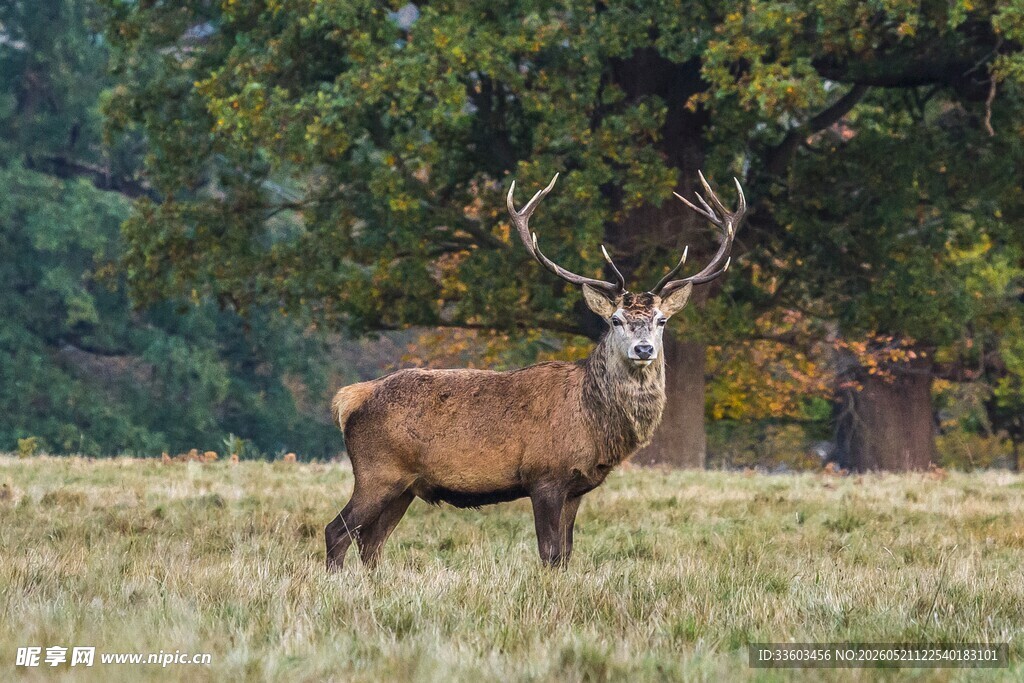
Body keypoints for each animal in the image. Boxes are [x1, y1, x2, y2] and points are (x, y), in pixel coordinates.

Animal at [326, 172, 745, 570]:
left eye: (661, 320)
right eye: (615, 320)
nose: (643, 349)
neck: (593, 422)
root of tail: (349, 398)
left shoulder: (576, 487)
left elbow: (566, 554)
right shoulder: (544, 476)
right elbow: (548, 552)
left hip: (406, 486)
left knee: (371, 541)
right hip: (378, 471)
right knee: (338, 530)